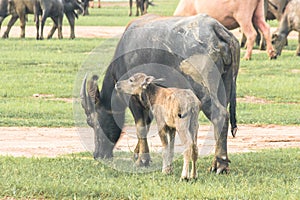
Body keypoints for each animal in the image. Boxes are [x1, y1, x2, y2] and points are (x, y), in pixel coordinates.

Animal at [80, 13, 239, 173]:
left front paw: (142, 160)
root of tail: (216, 28)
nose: (97, 154)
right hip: (225, 86)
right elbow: (147, 123)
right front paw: (137, 154)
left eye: (91, 122)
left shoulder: (133, 98)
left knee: (219, 114)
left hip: (203, 89)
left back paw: (220, 163)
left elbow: (140, 126)